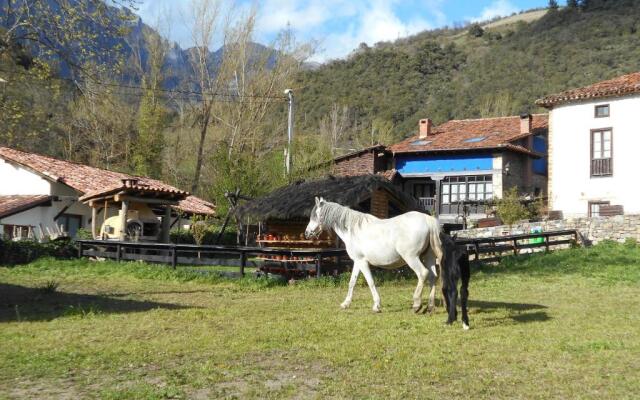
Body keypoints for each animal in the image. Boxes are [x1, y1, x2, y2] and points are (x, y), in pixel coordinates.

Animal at [304, 197, 442, 312]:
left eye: (315, 215)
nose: (307, 233)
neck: (352, 230)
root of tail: (427, 220)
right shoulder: (357, 261)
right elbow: (352, 282)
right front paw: (345, 304)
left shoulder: (363, 262)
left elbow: (370, 282)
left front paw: (376, 305)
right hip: (428, 257)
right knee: (432, 276)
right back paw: (430, 306)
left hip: (412, 258)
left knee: (422, 273)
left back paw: (417, 304)